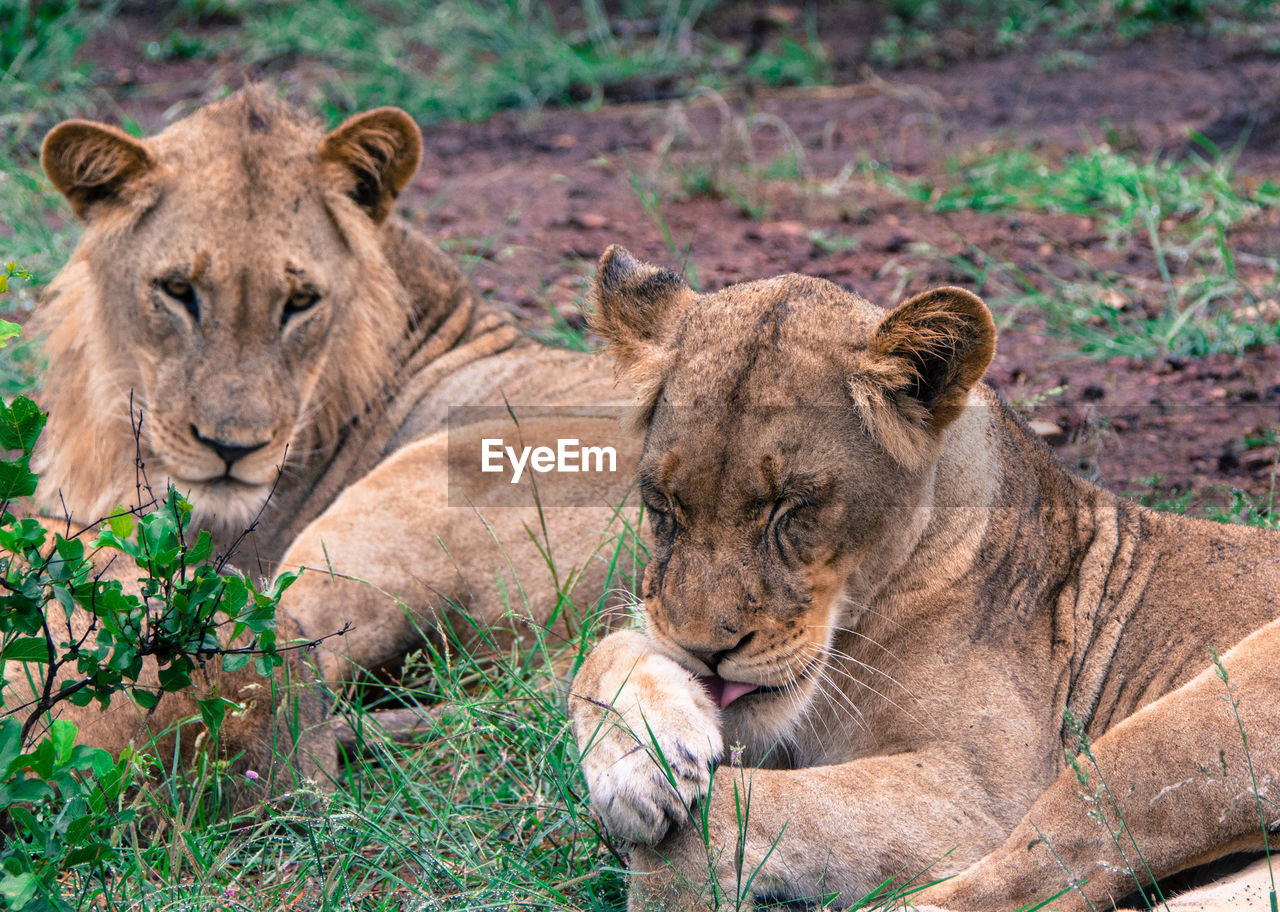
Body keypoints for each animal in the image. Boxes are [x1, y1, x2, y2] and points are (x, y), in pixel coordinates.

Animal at [570, 245, 1280, 906]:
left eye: (790, 507)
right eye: (663, 504)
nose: (705, 653)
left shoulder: (977, 796)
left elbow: (722, 817)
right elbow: (603, 651)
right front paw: (643, 760)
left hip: (1181, 737)